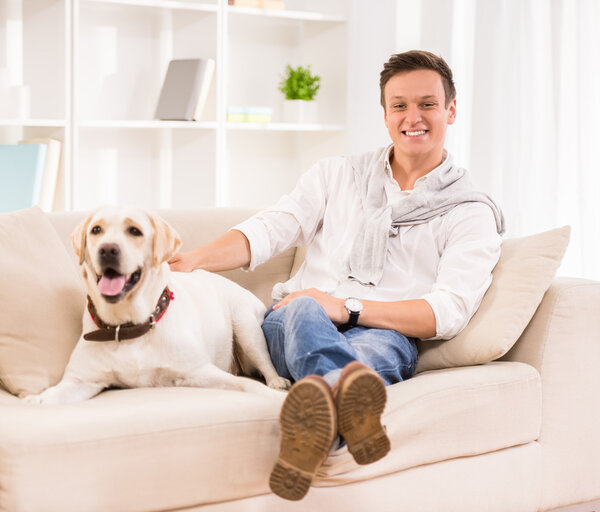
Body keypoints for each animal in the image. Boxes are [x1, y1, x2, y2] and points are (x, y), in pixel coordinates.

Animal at [24, 207, 292, 404]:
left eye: (135, 231)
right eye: (96, 230)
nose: (107, 249)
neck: (129, 325)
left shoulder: (201, 371)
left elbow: (246, 384)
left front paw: (276, 397)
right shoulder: (80, 381)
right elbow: (52, 396)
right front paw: (35, 400)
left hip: (246, 327)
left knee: (264, 362)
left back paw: (277, 381)